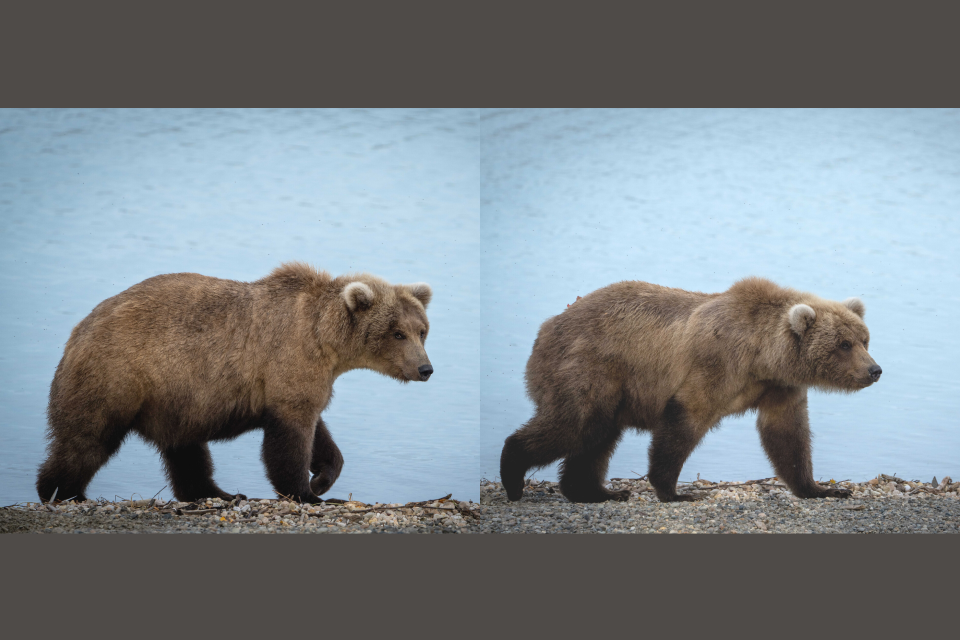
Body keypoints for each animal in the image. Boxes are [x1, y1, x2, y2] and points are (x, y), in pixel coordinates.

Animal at [33, 262, 432, 502]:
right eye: (397, 333)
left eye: (421, 330)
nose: (425, 368)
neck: (327, 341)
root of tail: (78, 330)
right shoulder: (290, 360)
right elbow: (290, 438)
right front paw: (309, 492)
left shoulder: (307, 379)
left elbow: (317, 427)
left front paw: (322, 476)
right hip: (117, 374)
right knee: (88, 438)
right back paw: (63, 492)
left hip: (173, 397)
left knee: (185, 450)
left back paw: (218, 494)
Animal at [502, 278, 884, 502]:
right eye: (844, 344)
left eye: (864, 339)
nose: (874, 370)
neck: (762, 355)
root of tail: (548, 326)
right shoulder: (717, 363)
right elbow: (685, 417)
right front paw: (673, 492)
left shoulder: (779, 385)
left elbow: (787, 433)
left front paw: (823, 489)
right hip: (590, 365)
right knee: (577, 426)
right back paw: (513, 477)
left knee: (597, 435)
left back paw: (597, 493)